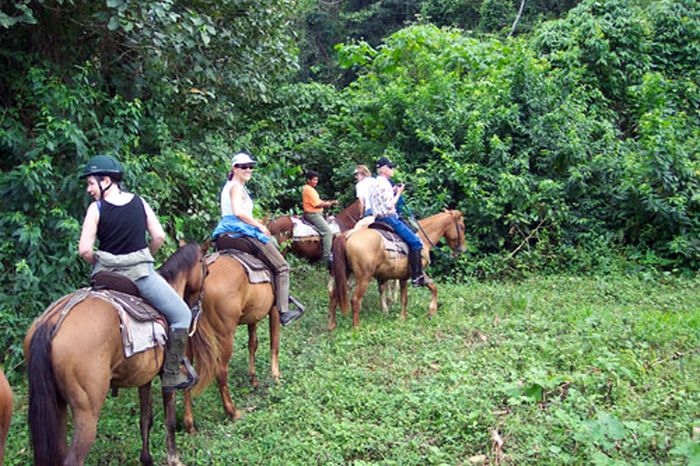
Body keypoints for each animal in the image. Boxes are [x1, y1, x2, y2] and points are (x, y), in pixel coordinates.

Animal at [27, 244, 208, 466]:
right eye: (206, 271)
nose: (197, 306)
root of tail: (53, 322)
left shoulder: (144, 378)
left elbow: (145, 419)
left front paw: (146, 459)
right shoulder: (168, 379)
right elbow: (170, 420)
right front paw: (173, 458)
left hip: (57, 406)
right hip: (87, 414)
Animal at [183, 249, 282, 436]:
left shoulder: (252, 317)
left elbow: (253, 343)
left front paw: (253, 379)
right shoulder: (274, 309)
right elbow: (274, 343)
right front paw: (276, 377)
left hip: (187, 336)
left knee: (186, 373)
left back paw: (190, 425)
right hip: (225, 335)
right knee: (221, 371)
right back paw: (232, 412)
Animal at [330, 209, 468, 330]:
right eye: (462, 227)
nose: (463, 249)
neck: (422, 237)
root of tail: (348, 235)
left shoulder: (403, 277)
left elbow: (422, 291)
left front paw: (426, 312)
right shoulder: (417, 273)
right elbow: (413, 295)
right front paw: (428, 311)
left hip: (345, 275)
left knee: (334, 296)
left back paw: (332, 325)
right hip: (363, 278)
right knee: (355, 300)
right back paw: (356, 327)